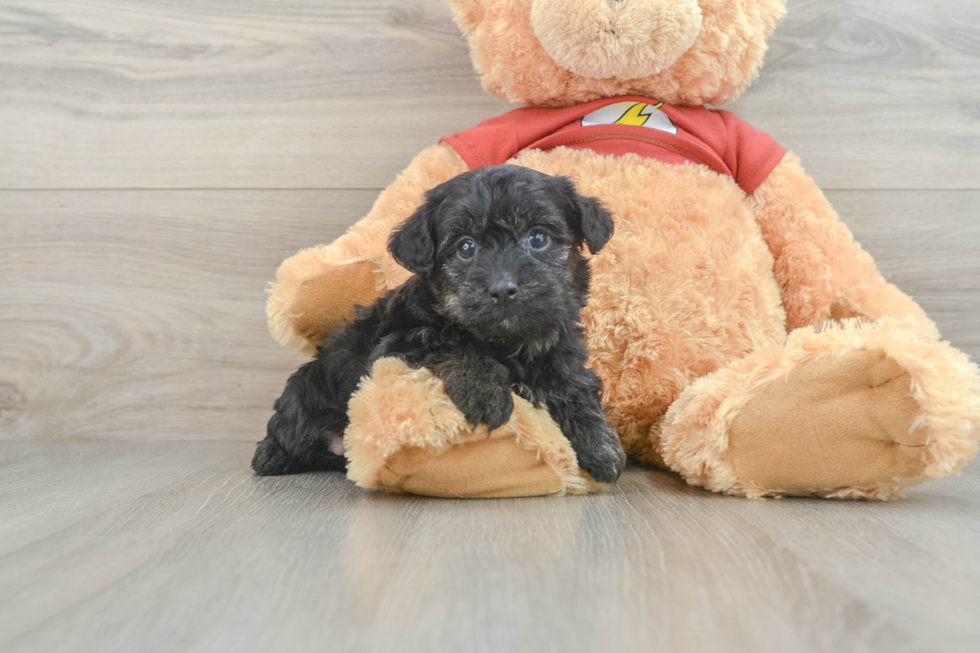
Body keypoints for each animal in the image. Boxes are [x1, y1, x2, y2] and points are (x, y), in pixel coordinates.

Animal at [253, 166, 628, 482]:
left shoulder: (560, 347)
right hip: (305, 397)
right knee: (286, 428)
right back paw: (272, 456)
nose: (503, 289)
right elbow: (453, 342)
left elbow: (573, 385)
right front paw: (484, 391)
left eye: (538, 238)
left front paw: (600, 444)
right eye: (466, 247)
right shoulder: (401, 339)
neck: (506, 342)